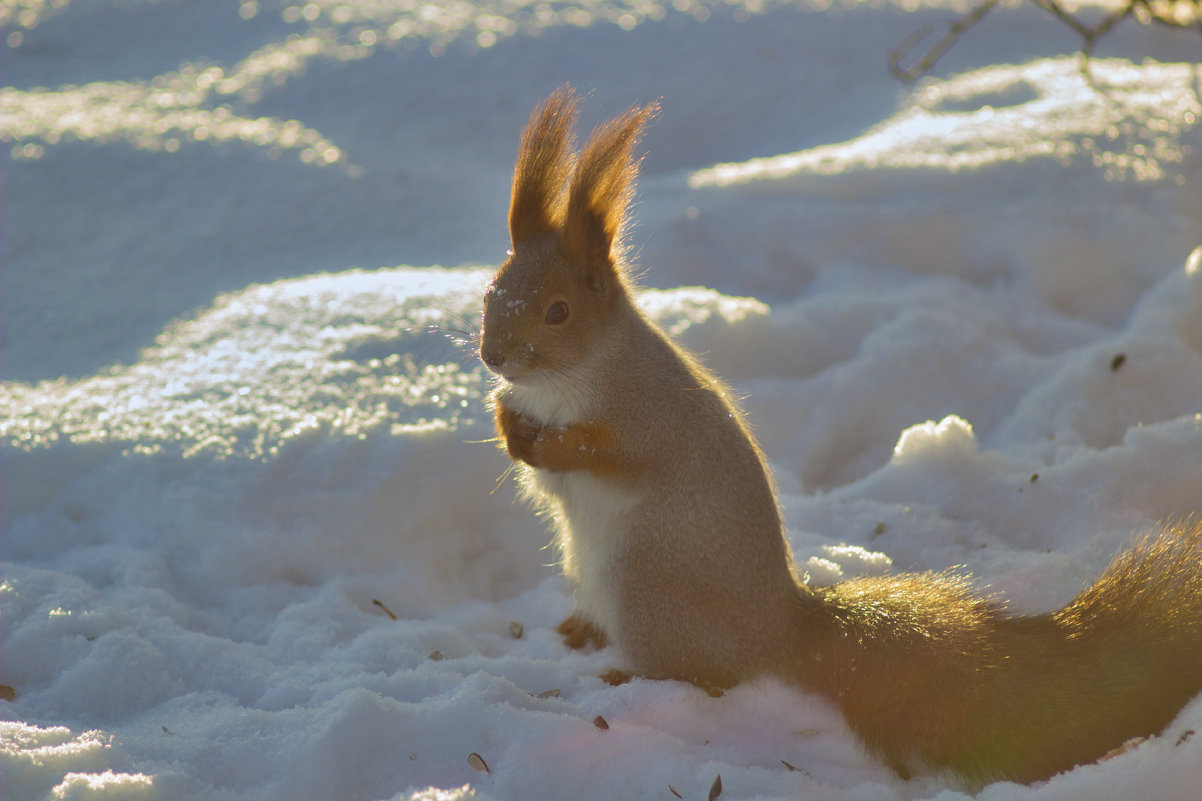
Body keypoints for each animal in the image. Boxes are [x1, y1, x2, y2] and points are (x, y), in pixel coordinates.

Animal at [475, 85, 1202, 779]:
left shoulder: (651, 419)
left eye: (559, 311)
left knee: (704, 678)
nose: (493, 357)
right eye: (489, 292)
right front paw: (507, 424)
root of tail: (779, 633)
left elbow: (613, 456)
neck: (567, 381)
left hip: (645, 591)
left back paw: (622, 675)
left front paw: (555, 441)